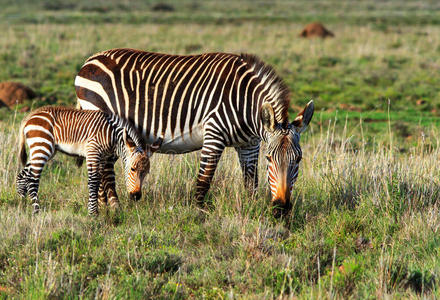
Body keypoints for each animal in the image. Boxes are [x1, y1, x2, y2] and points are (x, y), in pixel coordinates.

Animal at [16, 105, 163, 216]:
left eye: (147, 173)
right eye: (132, 169)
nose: (136, 196)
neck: (112, 135)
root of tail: (30, 115)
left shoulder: (102, 158)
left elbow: (98, 181)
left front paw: (97, 210)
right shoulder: (93, 152)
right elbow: (93, 182)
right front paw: (93, 214)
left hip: (45, 150)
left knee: (22, 175)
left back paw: (22, 204)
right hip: (42, 146)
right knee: (33, 178)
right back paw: (36, 210)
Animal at [75, 48, 312, 214]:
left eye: (298, 159)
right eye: (270, 158)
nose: (281, 208)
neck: (246, 105)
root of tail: (90, 60)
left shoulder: (249, 144)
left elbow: (250, 181)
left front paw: (251, 209)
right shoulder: (214, 133)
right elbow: (204, 179)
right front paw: (197, 214)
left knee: (102, 165)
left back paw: (104, 205)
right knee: (105, 168)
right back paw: (114, 207)